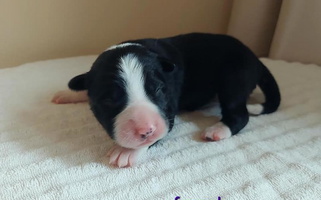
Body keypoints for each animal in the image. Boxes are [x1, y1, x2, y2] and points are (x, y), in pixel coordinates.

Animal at [51, 32, 278, 167]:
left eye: (159, 90)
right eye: (108, 100)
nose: (146, 131)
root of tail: (255, 58)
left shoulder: (168, 112)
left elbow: (162, 130)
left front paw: (127, 151)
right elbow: (84, 81)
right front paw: (69, 92)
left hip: (234, 77)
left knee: (239, 113)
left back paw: (218, 129)